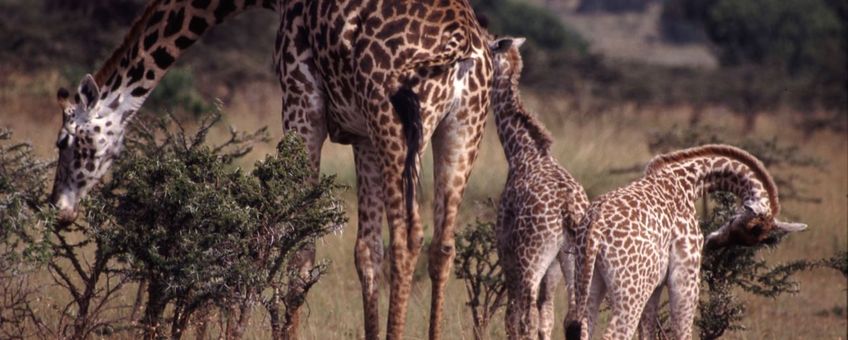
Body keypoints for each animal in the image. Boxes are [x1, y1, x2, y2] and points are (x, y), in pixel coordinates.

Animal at [49, 0, 494, 340]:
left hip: (396, 125)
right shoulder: (362, 134)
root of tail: (461, 46)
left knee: (408, 238)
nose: (58, 207)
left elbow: (300, 245)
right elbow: (366, 252)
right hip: (462, 128)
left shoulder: (301, 100)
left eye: (65, 142)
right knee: (442, 245)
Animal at [486, 35, 588, 338]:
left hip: (531, 257)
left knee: (526, 315)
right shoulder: (553, 265)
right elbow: (548, 317)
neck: (522, 151)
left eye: (489, 46)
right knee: (576, 315)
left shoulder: (506, 250)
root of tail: (568, 209)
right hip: (574, 260)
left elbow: (514, 315)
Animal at [564, 144, 808, 340]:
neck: (687, 183)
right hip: (630, 292)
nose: (712, 242)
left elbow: (648, 332)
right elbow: (682, 331)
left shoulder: (656, 285)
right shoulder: (685, 275)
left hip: (589, 280)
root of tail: (595, 227)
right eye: (741, 223)